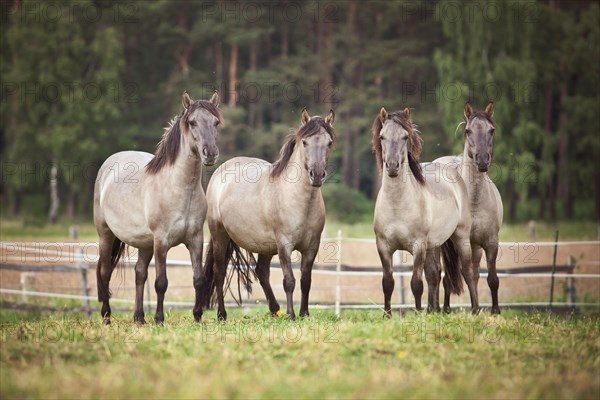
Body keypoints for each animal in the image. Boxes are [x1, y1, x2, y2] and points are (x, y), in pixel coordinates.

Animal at [94, 91, 223, 324]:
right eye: (192, 122)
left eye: (215, 122)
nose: (210, 153)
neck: (179, 189)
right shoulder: (161, 241)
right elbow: (161, 282)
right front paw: (160, 319)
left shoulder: (195, 240)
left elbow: (198, 279)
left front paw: (197, 316)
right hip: (106, 235)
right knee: (106, 272)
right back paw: (107, 316)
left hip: (144, 243)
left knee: (139, 273)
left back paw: (139, 317)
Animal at [199, 108, 336, 320]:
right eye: (305, 142)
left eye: (329, 142)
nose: (317, 174)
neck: (301, 202)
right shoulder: (284, 244)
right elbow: (289, 280)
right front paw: (291, 315)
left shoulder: (312, 246)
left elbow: (306, 280)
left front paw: (304, 313)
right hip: (220, 235)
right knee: (220, 272)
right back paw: (222, 314)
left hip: (264, 246)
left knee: (261, 272)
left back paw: (274, 309)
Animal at [370, 105, 478, 316]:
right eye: (382, 136)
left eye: (405, 136)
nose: (392, 166)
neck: (397, 205)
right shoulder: (383, 246)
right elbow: (388, 282)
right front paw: (387, 315)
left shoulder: (418, 246)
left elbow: (416, 284)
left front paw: (418, 314)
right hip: (433, 245)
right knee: (434, 273)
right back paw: (433, 310)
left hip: (460, 237)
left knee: (467, 271)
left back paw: (475, 309)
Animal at [434, 101, 504, 314]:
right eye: (468, 130)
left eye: (491, 130)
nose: (482, 160)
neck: (473, 200)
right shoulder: (461, 241)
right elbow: (463, 275)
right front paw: (475, 309)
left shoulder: (490, 242)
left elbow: (491, 278)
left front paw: (495, 310)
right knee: (446, 278)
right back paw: (445, 308)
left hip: (476, 247)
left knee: (473, 274)